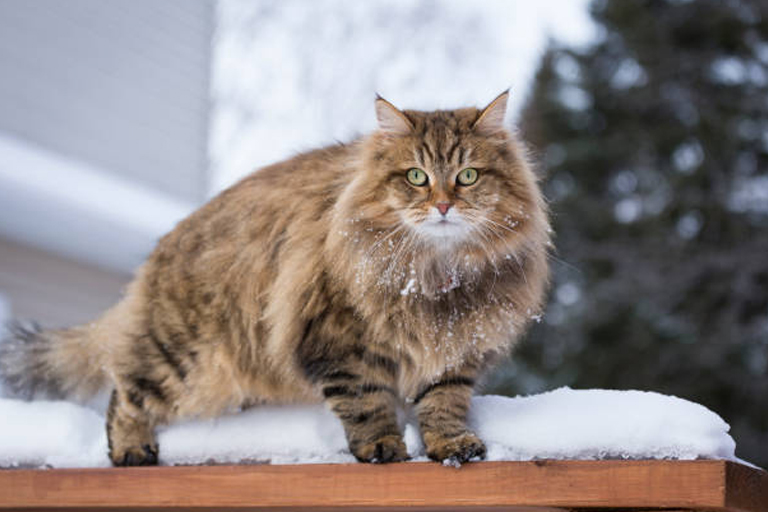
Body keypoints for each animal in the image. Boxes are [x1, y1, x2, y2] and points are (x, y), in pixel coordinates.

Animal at [1, 90, 552, 466]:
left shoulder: (455, 350)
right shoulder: (338, 342)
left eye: (468, 176)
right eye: (416, 177)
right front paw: (381, 446)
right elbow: (366, 403)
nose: (442, 205)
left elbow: (443, 403)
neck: (435, 274)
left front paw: (451, 445)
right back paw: (133, 450)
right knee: (124, 392)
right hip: (182, 358)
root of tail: (161, 250)